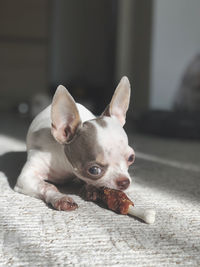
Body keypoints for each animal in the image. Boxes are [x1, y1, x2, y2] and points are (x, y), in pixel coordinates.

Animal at [14, 76, 134, 211]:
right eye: (94, 170)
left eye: (131, 158)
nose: (124, 182)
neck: (66, 166)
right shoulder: (26, 177)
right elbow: (47, 186)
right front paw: (59, 198)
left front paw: (90, 188)